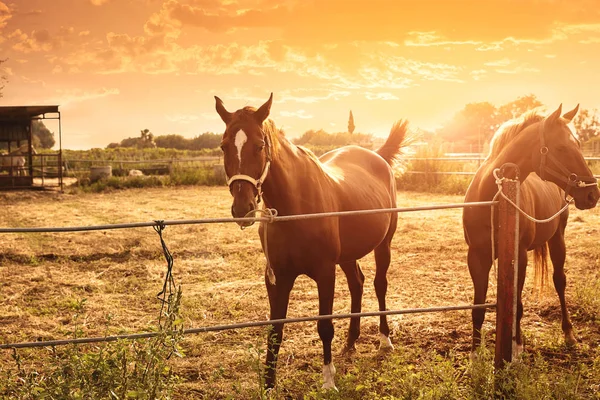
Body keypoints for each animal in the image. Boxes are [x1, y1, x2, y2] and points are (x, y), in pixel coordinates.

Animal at [216, 93, 408, 388]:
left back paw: (385, 340)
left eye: (260, 145)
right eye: (224, 146)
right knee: (357, 284)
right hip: (349, 255)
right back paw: (351, 342)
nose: (242, 208)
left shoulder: (325, 273)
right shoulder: (277, 278)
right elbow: (275, 329)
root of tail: (377, 156)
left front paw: (328, 380)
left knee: (379, 285)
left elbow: (324, 326)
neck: (296, 209)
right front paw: (268, 384)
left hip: (383, 246)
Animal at [462, 104, 596, 354]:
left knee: (559, 281)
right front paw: (475, 354)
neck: (494, 199)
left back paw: (568, 333)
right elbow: (479, 307)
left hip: (557, 238)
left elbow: (518, 305)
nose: (593, 194)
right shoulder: (476, 257)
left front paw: (516, 346)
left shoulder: (520, 256)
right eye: (562, 147)